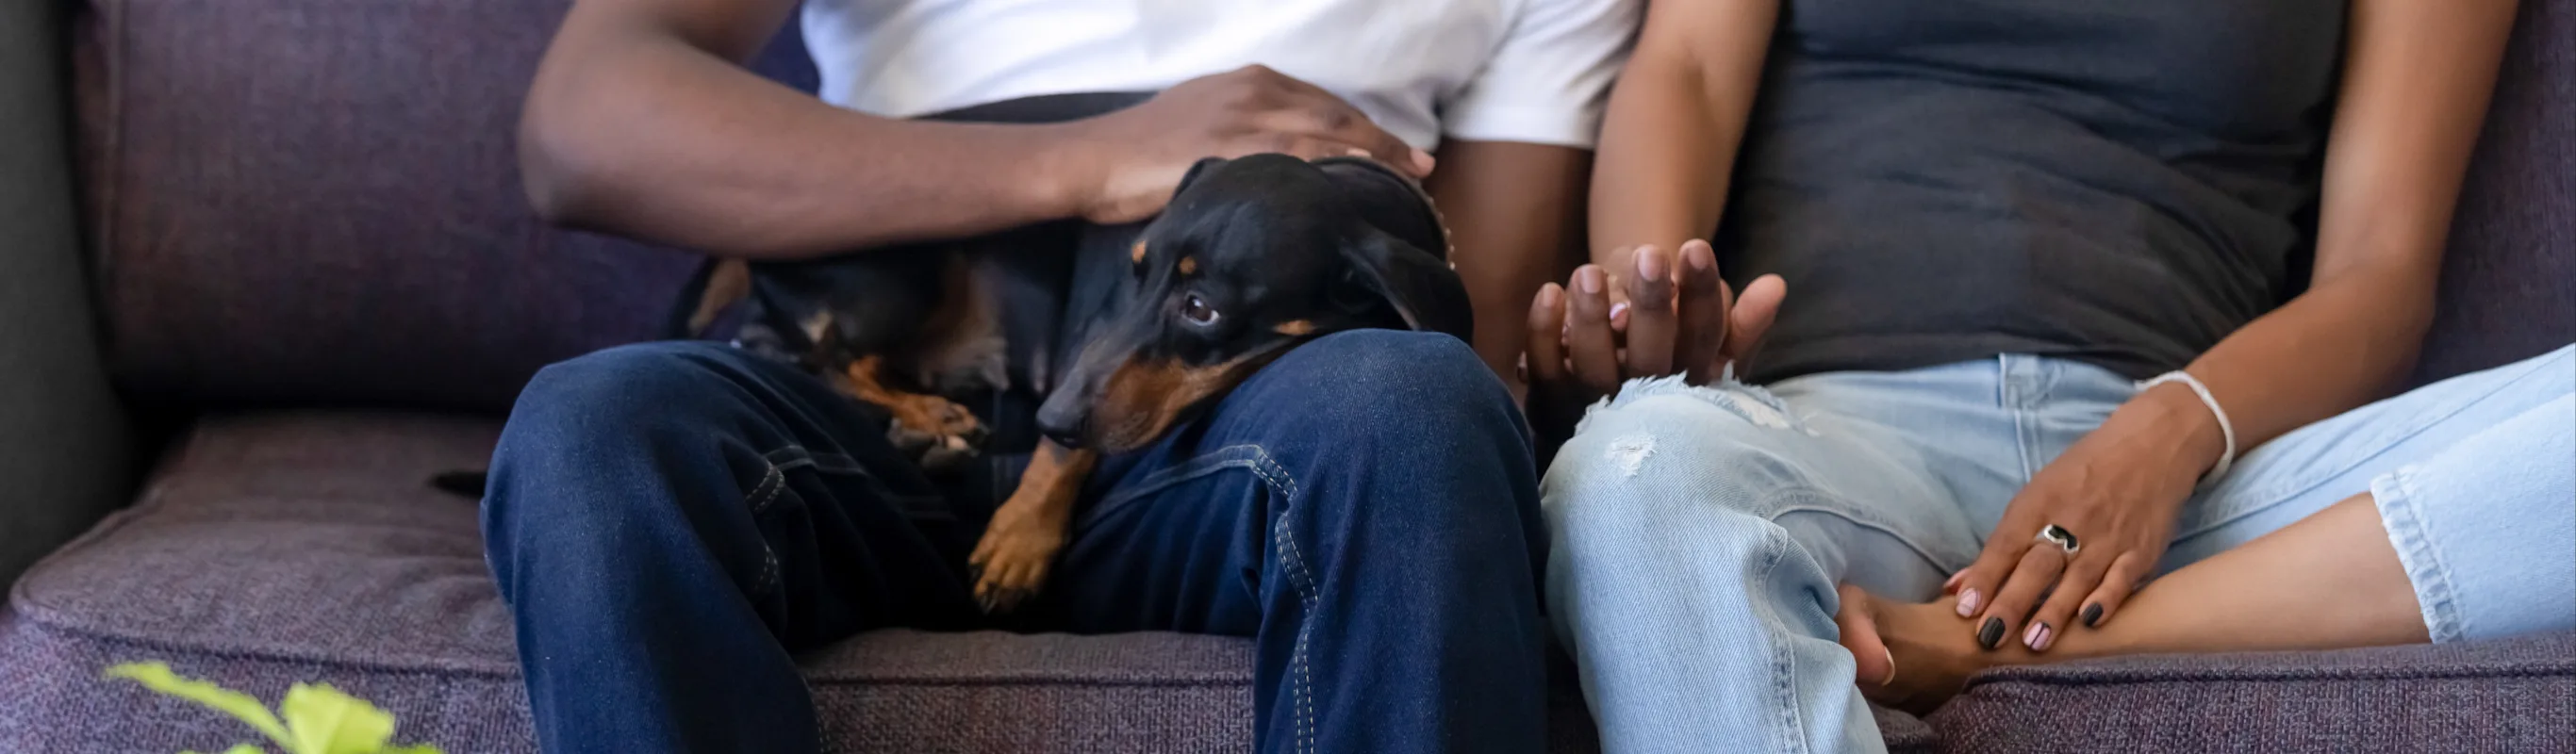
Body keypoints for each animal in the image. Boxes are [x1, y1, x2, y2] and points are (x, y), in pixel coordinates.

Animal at [685, 154, 1483, 610]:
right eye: (1134, 269)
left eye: (1202, 308)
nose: (1050, 416)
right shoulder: (1091, 337)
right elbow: (1070, 444)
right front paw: (1021, 537)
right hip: (901, 270)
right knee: (829, 358)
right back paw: (931, 418)